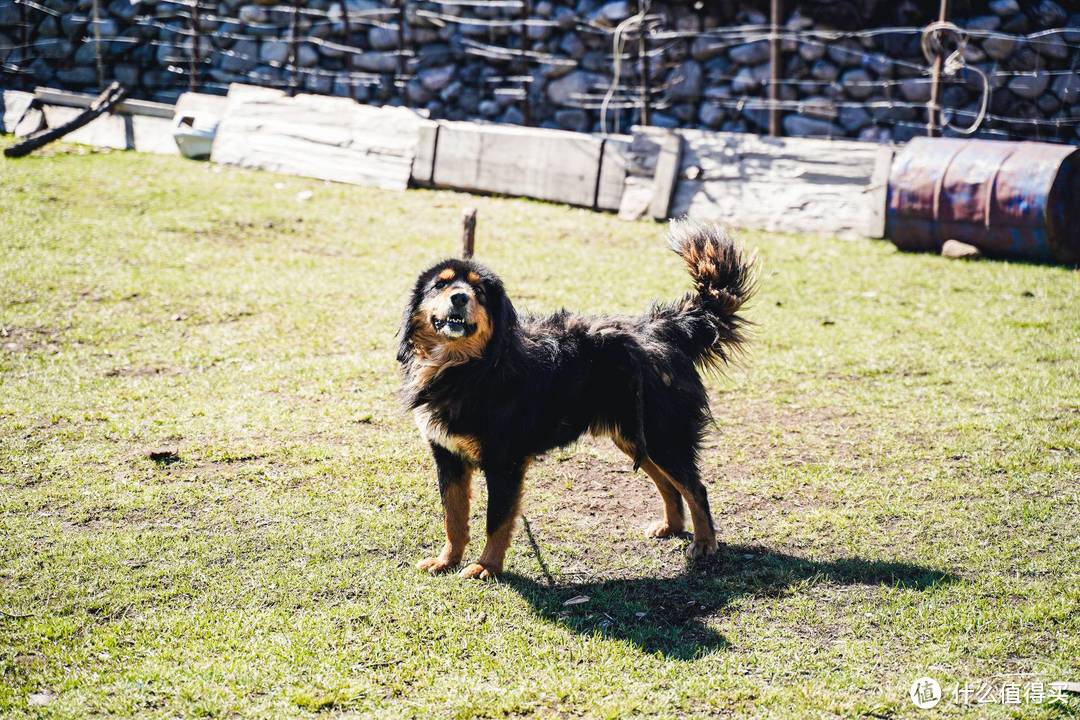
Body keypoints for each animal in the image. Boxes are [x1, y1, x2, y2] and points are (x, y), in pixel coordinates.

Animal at [393, 221, 756, 578]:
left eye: (479, 292)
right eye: (440, 286)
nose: (458, 297)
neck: (470, 368)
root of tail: (662, 328)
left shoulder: (504, 462)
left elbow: (496, 521)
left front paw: (487, 566)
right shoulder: (447, 455)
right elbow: (453, 517)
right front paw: (447, 561)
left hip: (663, 435)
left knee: (695, 488)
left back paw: (705, 543)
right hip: (634, 437)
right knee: (669, 485)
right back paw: (671, 526)